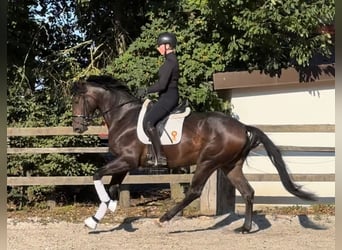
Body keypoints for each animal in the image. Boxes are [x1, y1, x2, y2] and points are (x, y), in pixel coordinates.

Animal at [71, 74, 316, 232]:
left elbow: (97, 175)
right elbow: (112, 186)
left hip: (208, 161)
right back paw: (245, 228)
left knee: (195, 191)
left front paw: (105, 209)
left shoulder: (127, 161)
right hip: (230, 166)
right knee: (248, 192)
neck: (123, 116)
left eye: (77, 100)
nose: (77, 128)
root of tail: (242, 127)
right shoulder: (124, 163)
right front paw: (95, 219)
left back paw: (164, 219)